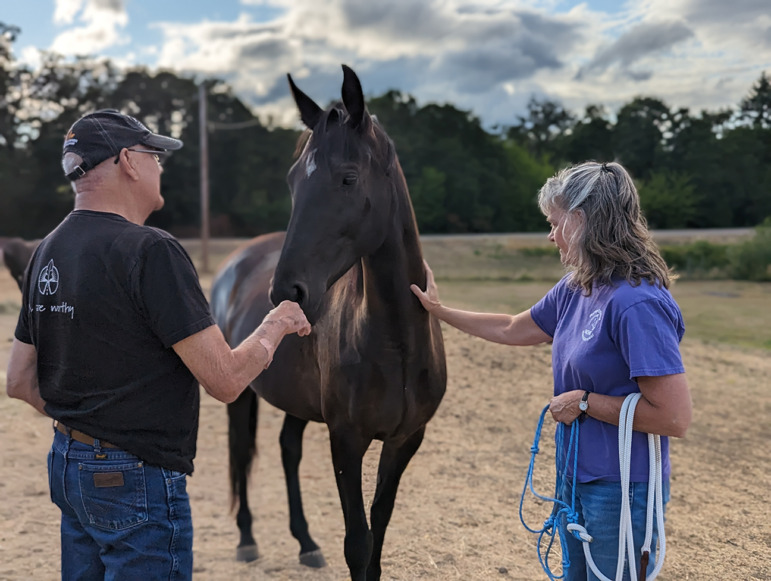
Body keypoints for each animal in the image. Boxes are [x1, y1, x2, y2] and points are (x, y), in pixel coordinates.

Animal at [211, 65, 450, 576]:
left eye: (347, 178)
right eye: (292, 182)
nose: (287, 292)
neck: (395, 344)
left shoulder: (404, 441)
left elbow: (378, 530)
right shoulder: (346, 440)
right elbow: (357, 542)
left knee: (288, 449)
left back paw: (305, 542)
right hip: (240, 395)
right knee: (242, 452)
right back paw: (247, 538)